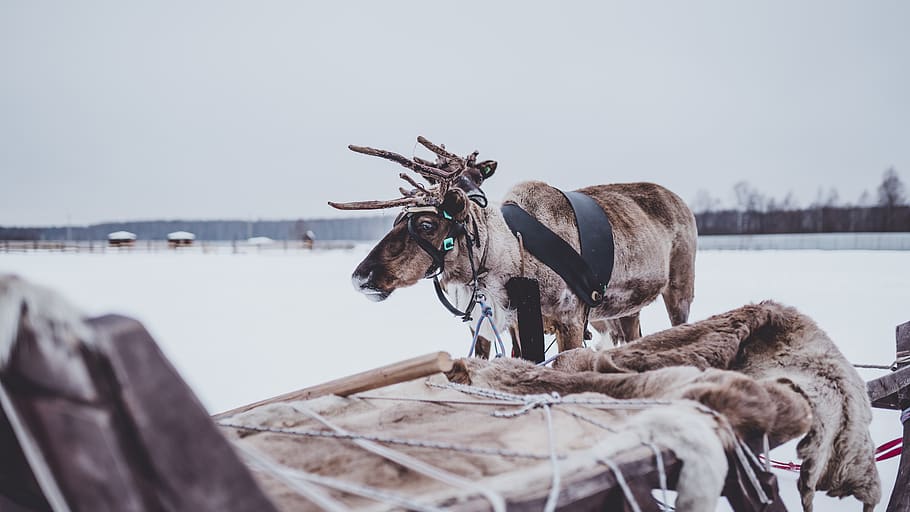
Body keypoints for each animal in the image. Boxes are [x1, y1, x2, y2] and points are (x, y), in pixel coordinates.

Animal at [329, 136, 697, 357]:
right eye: (395, 220)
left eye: (426, 224)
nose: (360, 277)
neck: (509, 256)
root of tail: (681, 201)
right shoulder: (515, 324)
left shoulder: (570, 318)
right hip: (624, 309)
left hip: (680, 286)